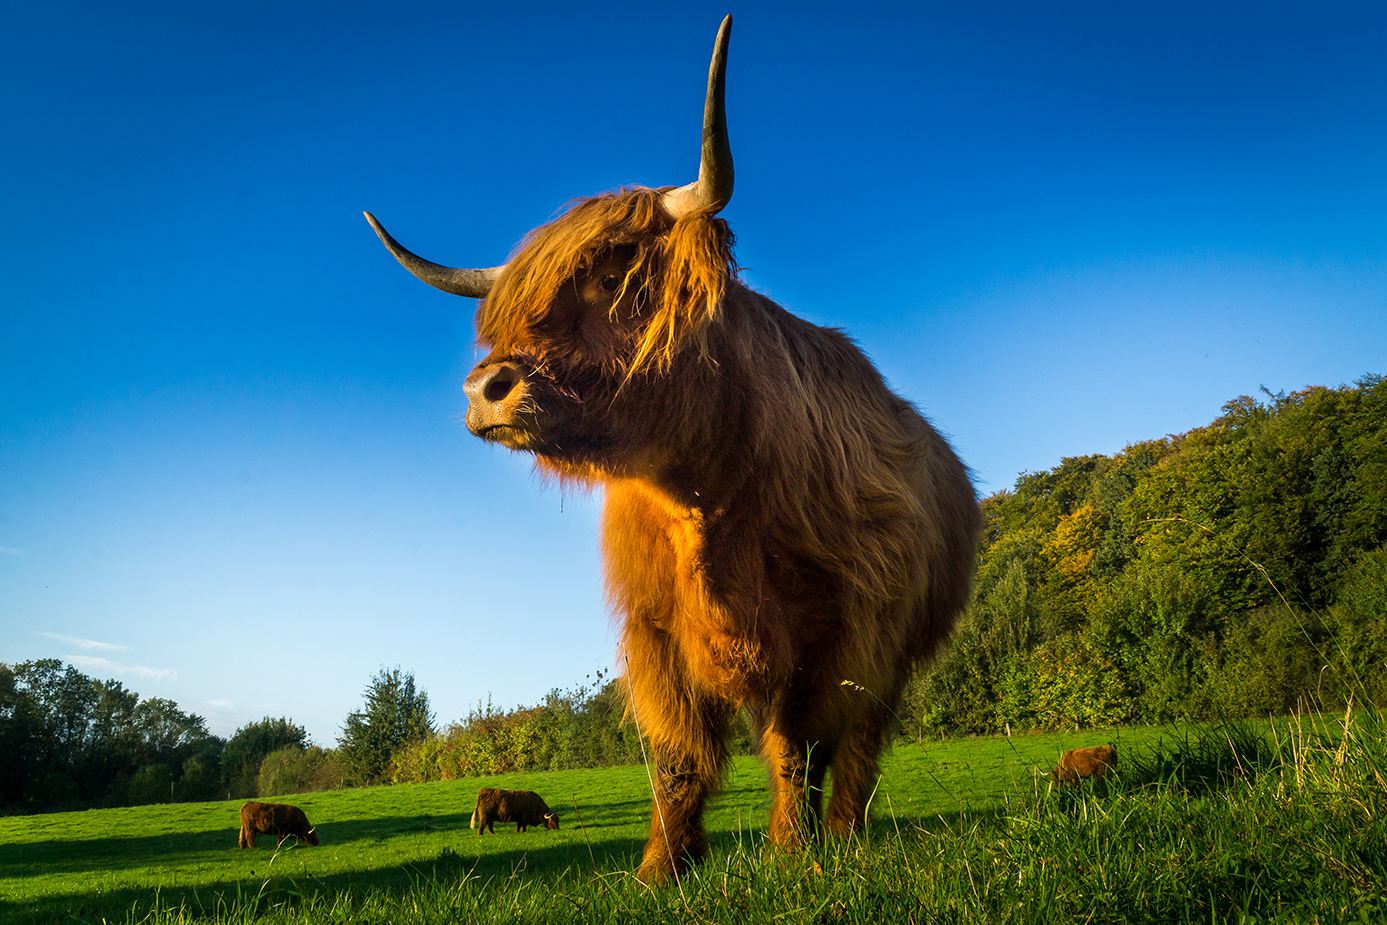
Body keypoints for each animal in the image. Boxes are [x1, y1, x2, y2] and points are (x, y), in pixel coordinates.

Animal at [363, 12, 981, 882]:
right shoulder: (653, 632)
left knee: (856, 746)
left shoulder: (839, 630)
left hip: (888, 648)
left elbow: (797, 743)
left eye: (614, 275)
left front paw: (794, 851)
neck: (705, 500)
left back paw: (843, 834)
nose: (484, 390)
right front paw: (662, 868)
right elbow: (677, 755)